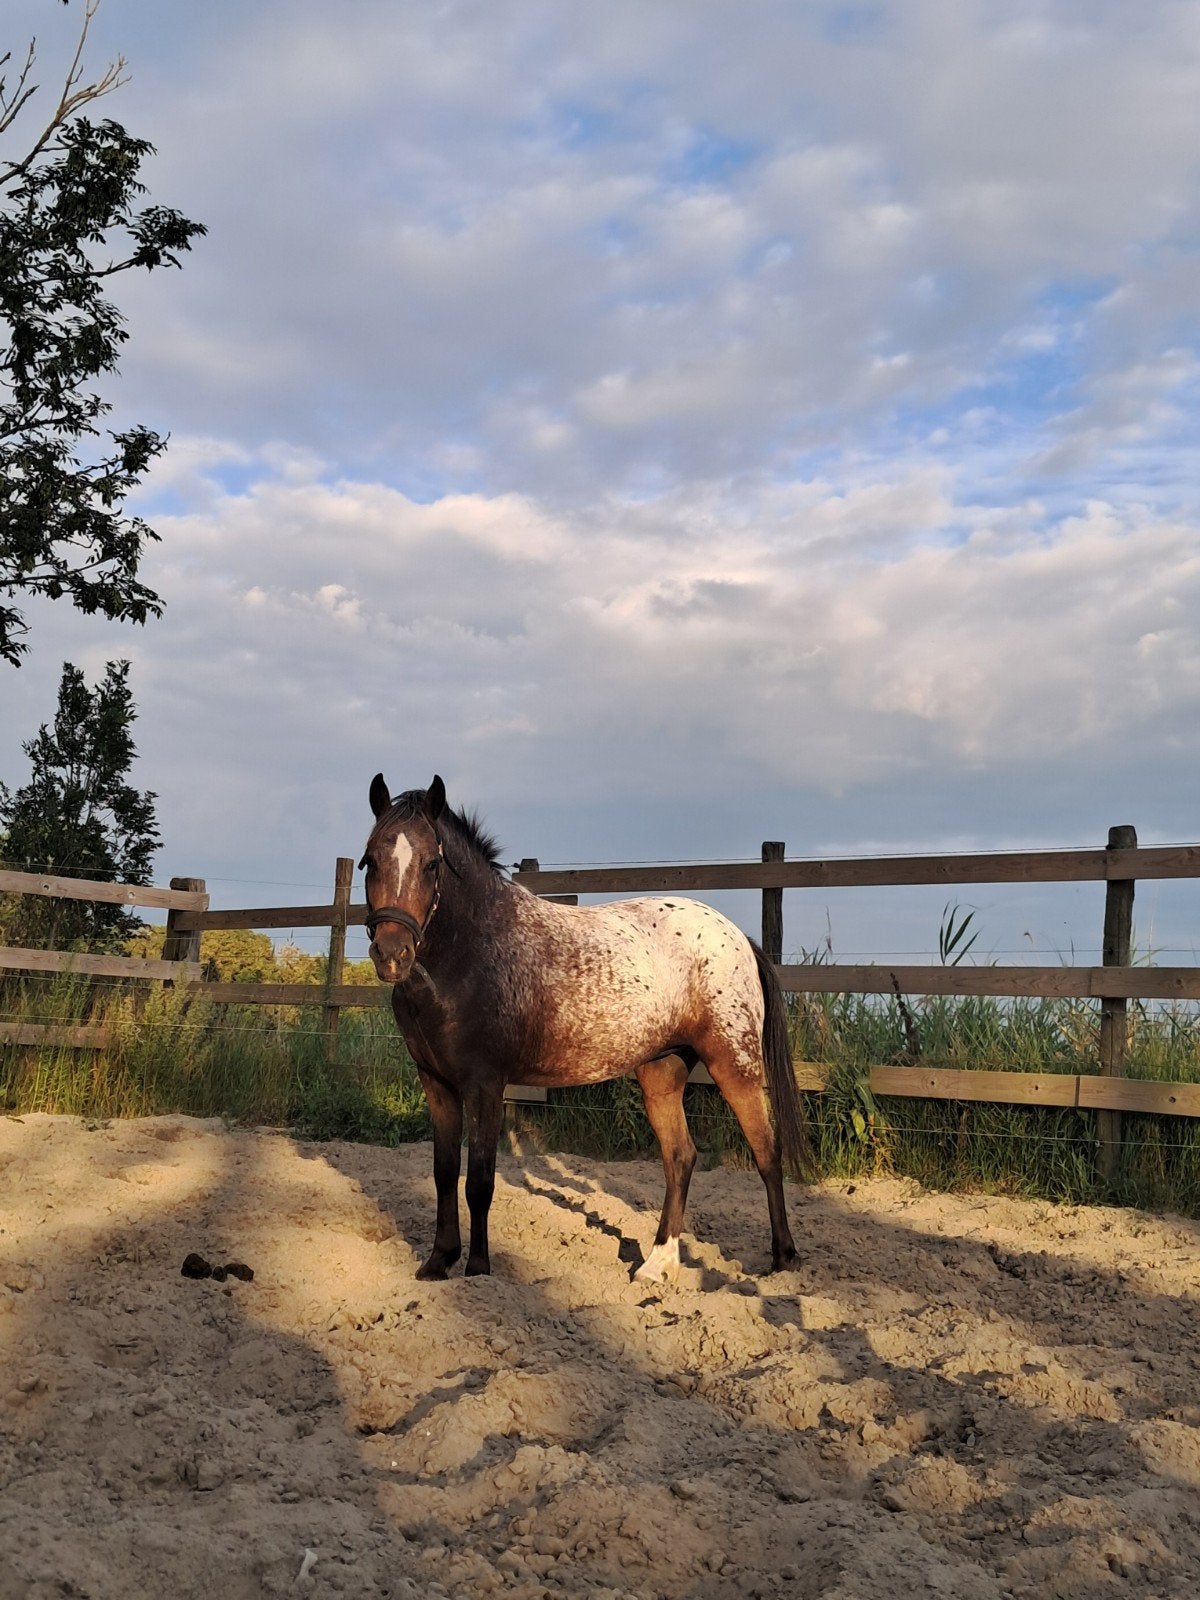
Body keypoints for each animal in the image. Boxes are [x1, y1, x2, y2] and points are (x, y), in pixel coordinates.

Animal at [359, 773, 809, 1282]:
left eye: (432, 864)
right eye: (369, 860)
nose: (392, 954)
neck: (472, 955)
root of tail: (738, 937)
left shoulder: (485, 1085)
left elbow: (479, 1181)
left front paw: (477, 1269)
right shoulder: (436, 1084)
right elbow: (442, 1174)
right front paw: (438, 1262)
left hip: (734, 1064)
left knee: (766, 1152)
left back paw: (783, 1259)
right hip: (661, 1071)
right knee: (680, 1158)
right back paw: (657, 1265)